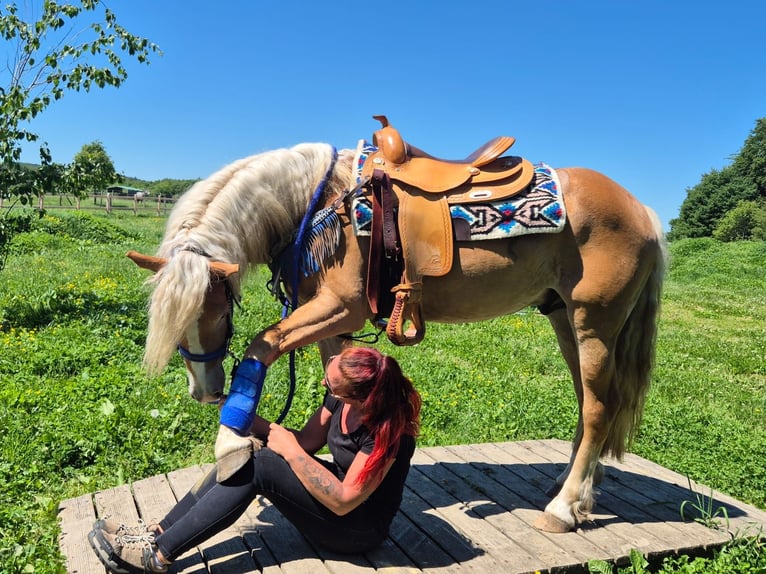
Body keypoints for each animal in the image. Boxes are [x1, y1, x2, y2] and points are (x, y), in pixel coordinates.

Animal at [127, 130, 666, 533]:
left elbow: (265, 342)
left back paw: (563, 508)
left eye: (217, 310)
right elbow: (334, 382)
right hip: (564, 320)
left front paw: (231, 443)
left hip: (594, 323)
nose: (205, 391)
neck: (320, 201)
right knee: (588, 401)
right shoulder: (332, 320)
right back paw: (573, 492)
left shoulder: (340, 309)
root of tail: (643, 211)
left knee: (598, 408)